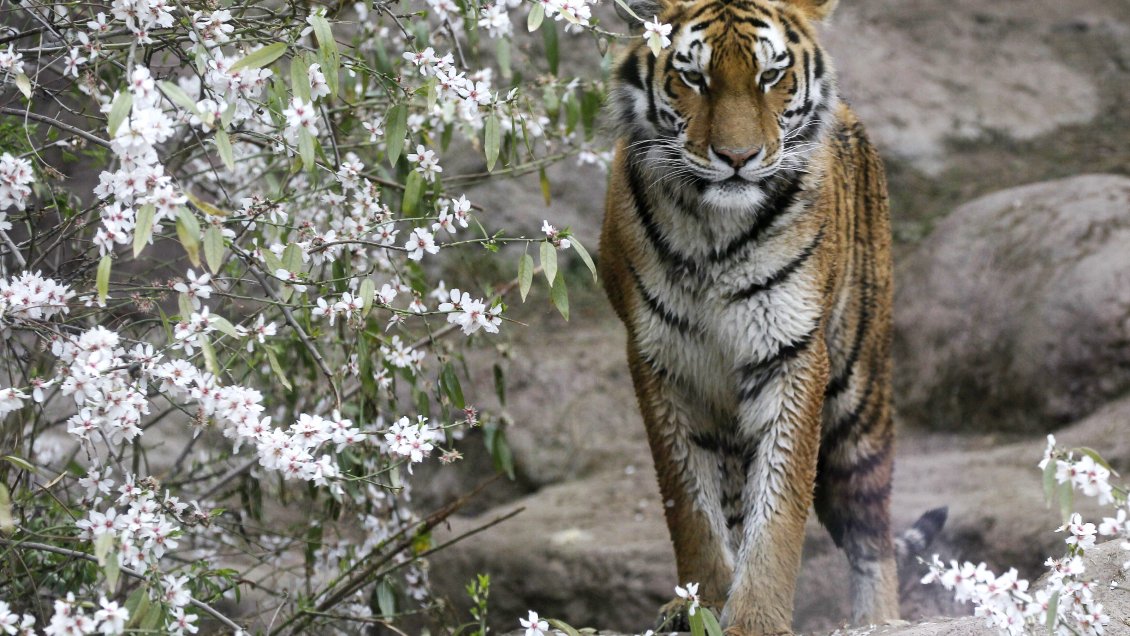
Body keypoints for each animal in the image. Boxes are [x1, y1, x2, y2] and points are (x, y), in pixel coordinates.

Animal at [597, 0, 946, 633]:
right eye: (694, 77)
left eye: (770, 76)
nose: (737, 159)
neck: (713, 229)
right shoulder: (661, 361)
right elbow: (691, 505)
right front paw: (702, 603)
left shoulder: (792, 352)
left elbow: (780, 506)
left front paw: (754, 617)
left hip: (859, 392)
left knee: (873, 535)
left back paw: (878, 619)